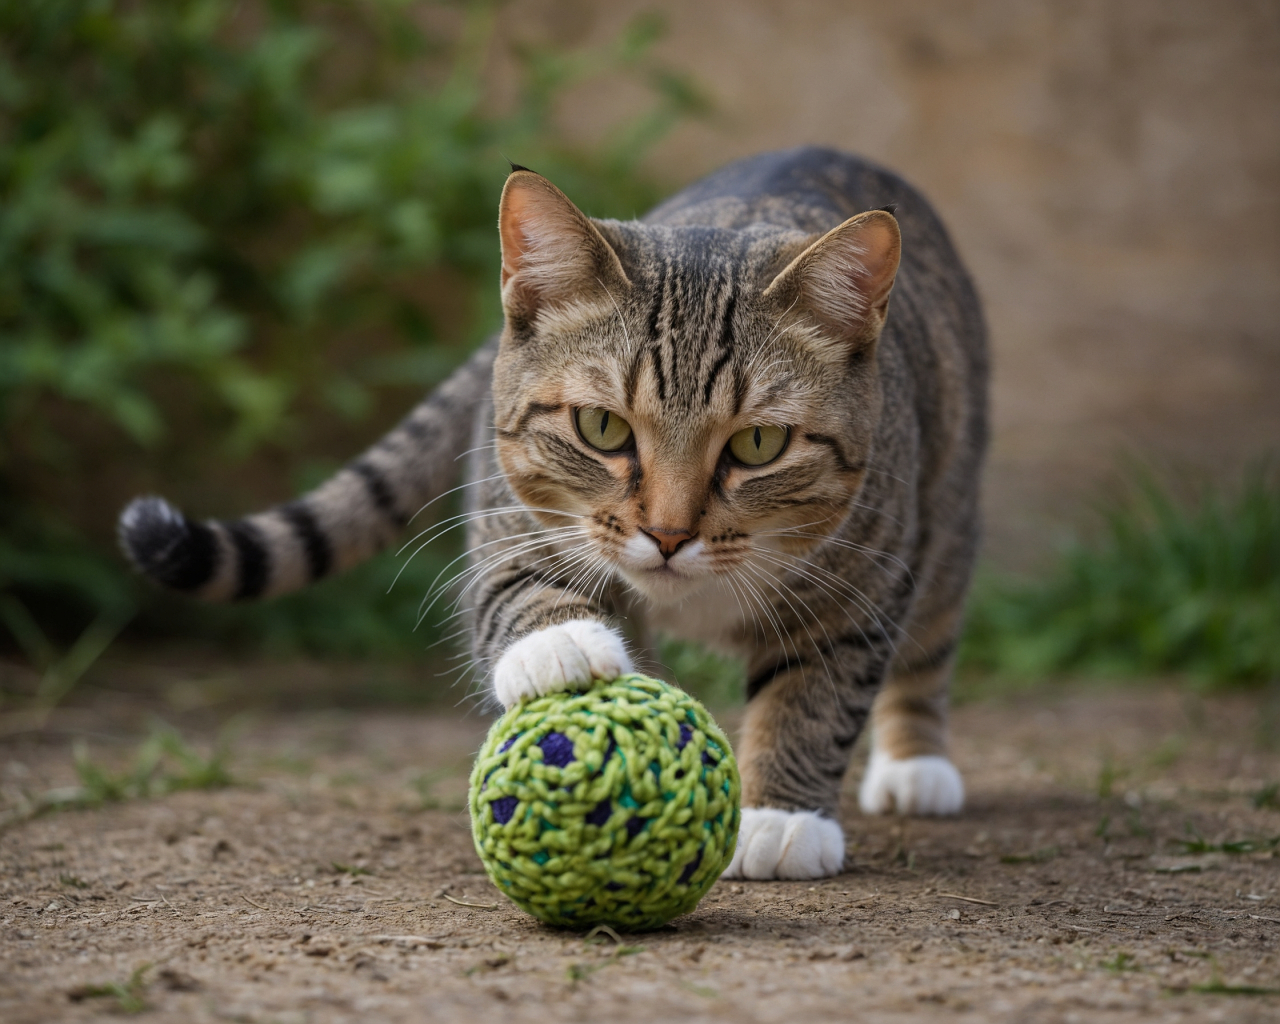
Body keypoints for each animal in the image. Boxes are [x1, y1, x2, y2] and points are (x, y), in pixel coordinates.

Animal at [117, 147, 988, 885]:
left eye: (758, 443)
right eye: (601, 427)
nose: (669, 534)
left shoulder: (864, 578)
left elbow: (816, 692)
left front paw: (781, 817)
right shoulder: (506, 517)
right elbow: (519, 590)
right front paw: (562, 645)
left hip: (946, 518)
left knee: (931, 642)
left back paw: (915, 765)